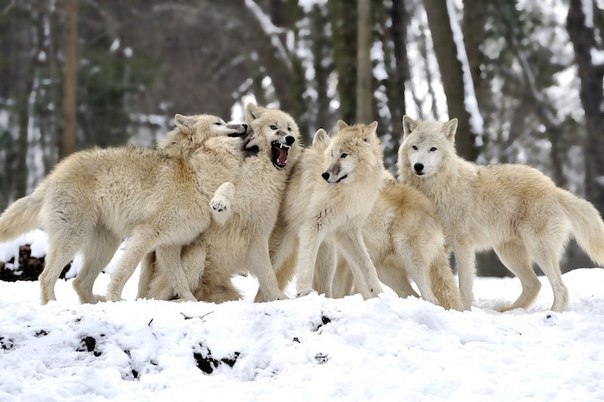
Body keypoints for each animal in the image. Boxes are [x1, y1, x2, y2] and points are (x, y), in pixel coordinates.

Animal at [0, 115, 247, 304]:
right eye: (219, 123)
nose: (244, 125)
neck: (195, 177)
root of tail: (52, 176)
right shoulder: (146, 234)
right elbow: (126, 271)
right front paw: (115, 298)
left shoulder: (169, 245)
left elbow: (180, 281)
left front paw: (191, 302)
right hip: (73, 239)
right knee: (46, 277)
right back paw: (54, 306)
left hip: (106, 247)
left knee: (80, 282)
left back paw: (94, 304)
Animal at [140, 103, 302, 302]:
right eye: (273, 127)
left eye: (289, 129)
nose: (290, 138)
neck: (261, 174)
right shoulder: (222, 214)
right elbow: (228, 186)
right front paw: (219, 201)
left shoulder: (259, 236)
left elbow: (269, 276)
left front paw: (278, 298)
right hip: (197, 258)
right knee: (161, 294)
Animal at [270, 121, 384, 300]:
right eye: (332, 154)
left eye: (344, 155)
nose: (324, 175)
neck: (350, 190)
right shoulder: (313, 225)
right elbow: (307, 263)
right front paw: (304, 291)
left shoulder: (348, 230)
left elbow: (367, 264)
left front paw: (379, 293)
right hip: (277, 251)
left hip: (329, 255)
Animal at [398, 115, 604, 310]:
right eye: (415, 147)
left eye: (433, 149)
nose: (418, 166)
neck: (438, 189)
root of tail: (554, 188)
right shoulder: (437, 246)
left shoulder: (462, 244)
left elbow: (464, 285)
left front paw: (464, 310)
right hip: (508, 254)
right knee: (534, 284)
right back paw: (509, 310)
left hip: (538, 249)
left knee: (560, 288)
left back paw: (553, 313)